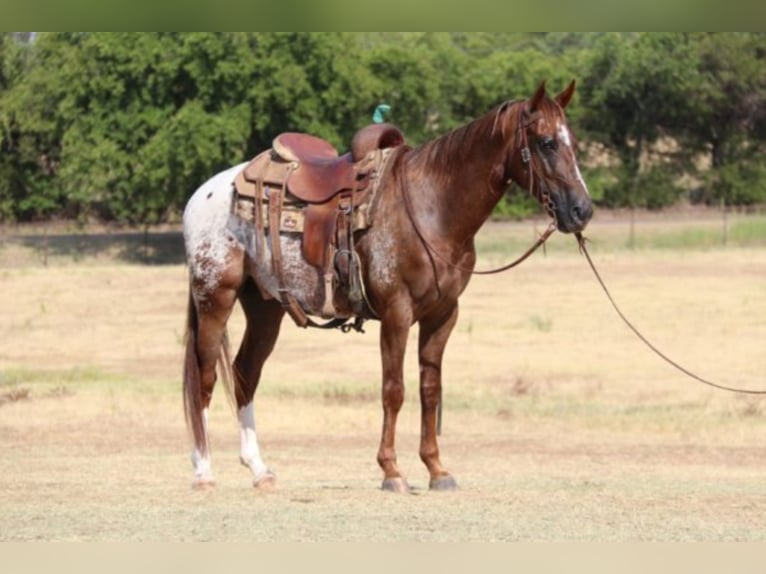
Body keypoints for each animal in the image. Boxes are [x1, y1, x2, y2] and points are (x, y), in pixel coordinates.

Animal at [183, 82, 596, 496]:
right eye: (546, 143)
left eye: (571, 141)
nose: (582, 210)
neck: (433, 207)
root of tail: (202, 193)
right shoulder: (397, 312)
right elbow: (393, 389)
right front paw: (392, 471)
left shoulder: (443, 315)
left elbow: (430, 389)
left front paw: (436, 469)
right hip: (215, 296)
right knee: (205, 375)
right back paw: (203, 471)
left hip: (265, 307)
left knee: (245, 373)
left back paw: (259, 470)